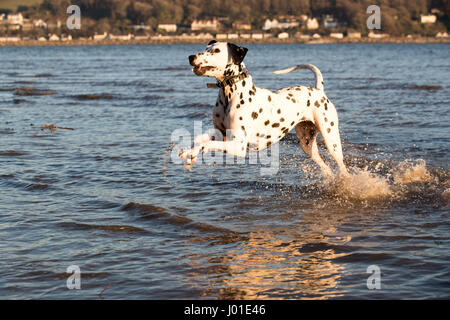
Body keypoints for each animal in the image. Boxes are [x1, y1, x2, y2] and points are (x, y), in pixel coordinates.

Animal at [179, 40, 348, 178]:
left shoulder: (239, 145)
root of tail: (318, 90)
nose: (190, 56)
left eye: (216, 51)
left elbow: (207, 143)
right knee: (327, 169)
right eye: (205, 48)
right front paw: (190, 152)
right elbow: (200, 138)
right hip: (307, 145)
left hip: (331, 141)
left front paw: (194, 152)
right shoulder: (223, 134)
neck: (230, 96)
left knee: (342, 168)